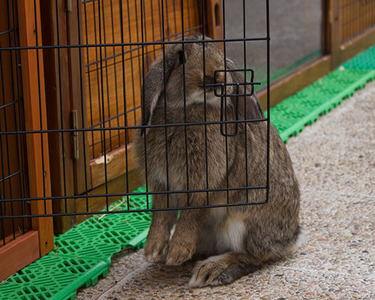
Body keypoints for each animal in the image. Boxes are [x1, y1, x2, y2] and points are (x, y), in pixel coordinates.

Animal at [134, 34, 302, 288]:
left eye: (220, 54)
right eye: (181, 57)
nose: (215, 74)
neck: (189, 109)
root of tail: (291, 237)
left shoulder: (204, 181)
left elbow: (192, 212)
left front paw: (177, 253)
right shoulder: (162, 183)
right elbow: (161, 214)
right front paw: (153, 251)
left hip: (241, 221)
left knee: (255, 256)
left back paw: (211, 270)